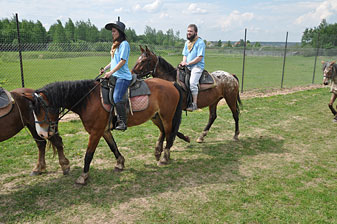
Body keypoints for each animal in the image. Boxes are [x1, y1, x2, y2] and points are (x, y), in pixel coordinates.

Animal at [24, 78, 182, 185]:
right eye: (32, 111)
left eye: (41, 110)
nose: (42, 134)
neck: (88, 99)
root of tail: (171, 84)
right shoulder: (104, 131)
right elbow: (113, 147)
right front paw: (120, 163)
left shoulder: (95, 133)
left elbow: (88, 155)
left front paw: (83, 176)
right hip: (156, 116)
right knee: (163, 132)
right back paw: (157, 152)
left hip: (167, 117)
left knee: (170, 135)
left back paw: (164, 157)